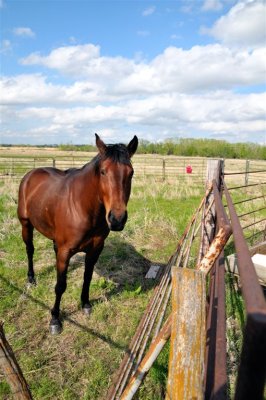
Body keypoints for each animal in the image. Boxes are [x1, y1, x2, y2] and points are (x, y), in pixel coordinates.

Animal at [17, 134, 138, 334]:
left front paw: (86, 304)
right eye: (103, 172)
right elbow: (60, 286)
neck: (82, 207)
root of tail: (31, 174)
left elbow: (87, 277)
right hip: (26, 225)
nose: (117, 219)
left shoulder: (95, 249)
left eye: (131, 173)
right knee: (29, 250)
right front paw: (55, 319)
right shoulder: (65, 251)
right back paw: (31, 279)